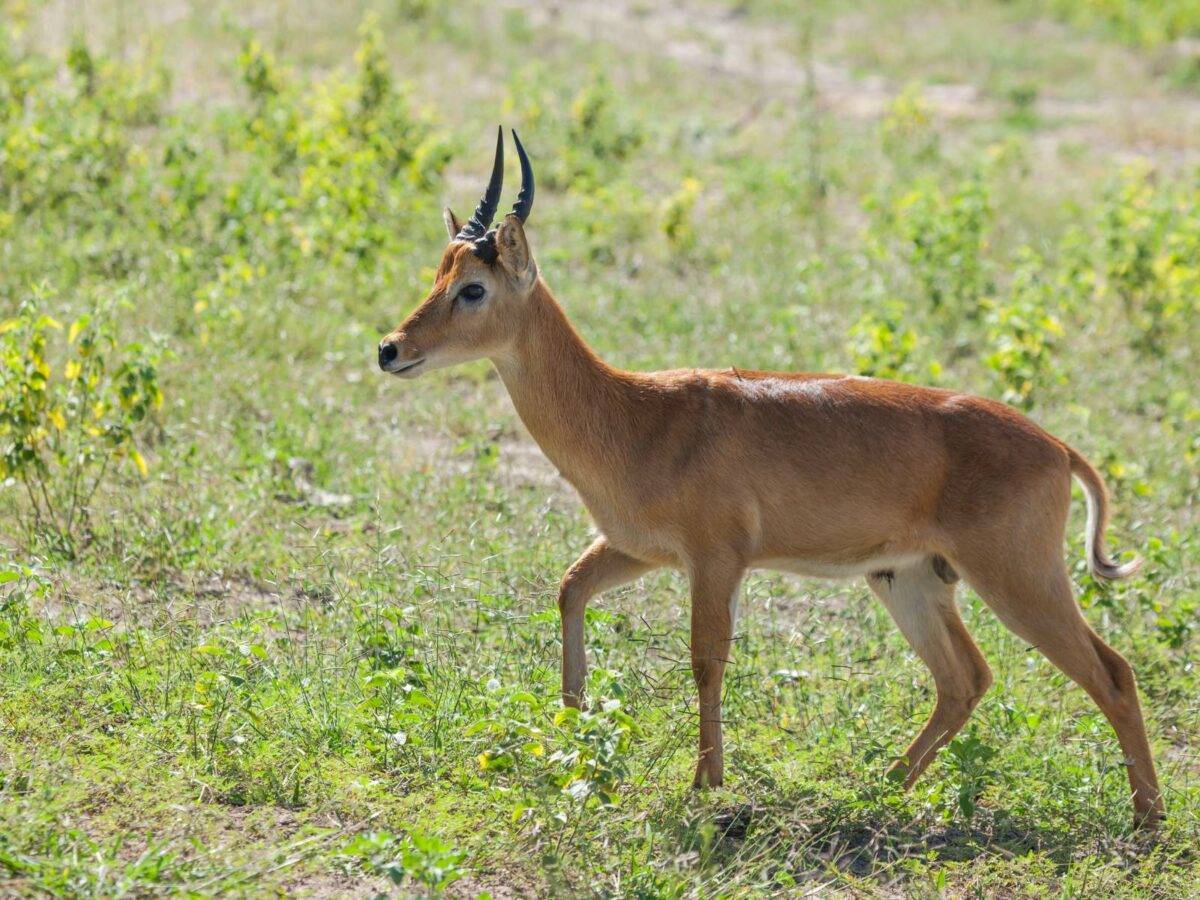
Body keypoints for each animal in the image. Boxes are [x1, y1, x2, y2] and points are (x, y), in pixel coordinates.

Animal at [378, 128, 1164, 830]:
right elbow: (569, 591)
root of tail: (1058, 447)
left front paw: (706, 784)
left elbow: (705, 658)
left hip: (1016, 579)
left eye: (473, 288)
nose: (390, 348)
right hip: (911, 578)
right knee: (965, 679)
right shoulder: (637, 549)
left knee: (1112, 673)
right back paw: (879, 789)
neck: (637, 414)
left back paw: (1146, 818)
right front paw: (571, 736)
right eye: (438, 273)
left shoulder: (716, 559)